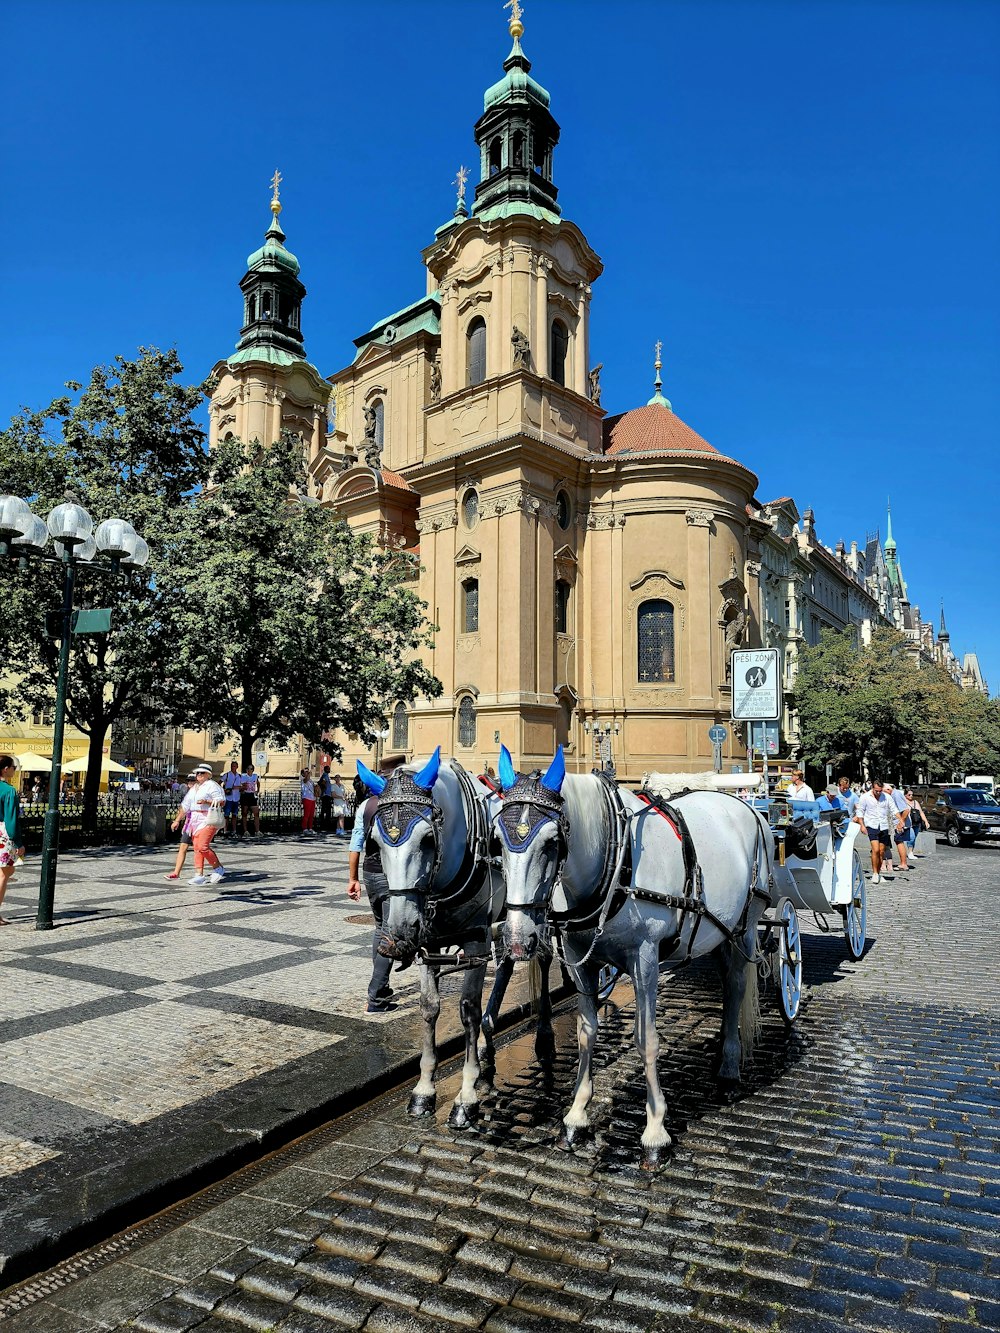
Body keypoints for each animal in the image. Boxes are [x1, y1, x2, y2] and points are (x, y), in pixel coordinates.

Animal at [357, 751, 557, 1125]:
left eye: (427, 839)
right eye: (373, 842)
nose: (396, 936)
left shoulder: (476, 943)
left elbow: (468, 1011)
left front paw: (466, 1096)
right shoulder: (428, 944)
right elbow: (429, 1008)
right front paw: (424, 1090)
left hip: (540, 914)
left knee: (543, 957)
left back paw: (544, 1036)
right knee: (507, 963)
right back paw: (489, 1040)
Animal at [496, 746, 773, 1173]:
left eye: (552, 841)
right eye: (497, 839)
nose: (516, 937)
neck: (614, 862)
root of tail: (743, 804)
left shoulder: (645, 958)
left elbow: (647, 1039)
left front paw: (655, 1132)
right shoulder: (579, 960)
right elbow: (585, 1034)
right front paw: (575, 1117)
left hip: (747, 923)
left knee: (738, 985)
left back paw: (729, 1070)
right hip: (720, 933)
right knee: (729, 984)